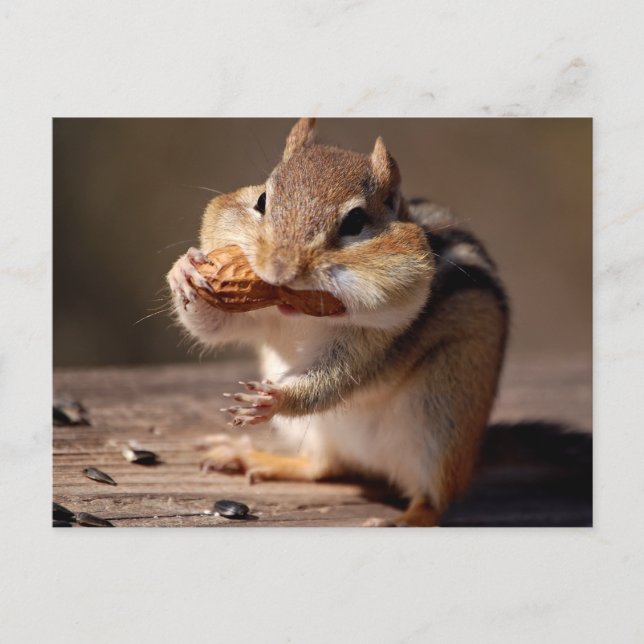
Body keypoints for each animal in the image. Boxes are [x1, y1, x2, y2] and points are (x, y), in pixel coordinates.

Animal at [167, 118, 510, 526]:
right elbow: (213, 327)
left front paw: (276, 398)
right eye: (262, 201)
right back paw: (251, 456)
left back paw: (400, 520)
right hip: (321, 432)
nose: (278, 271)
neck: (301, 315)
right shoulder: (257, 314)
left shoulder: (377, 337)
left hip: (444, 416)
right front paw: (185, 269)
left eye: (355, 222)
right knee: (322, 467)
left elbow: (337, 380)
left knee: (433, 501)